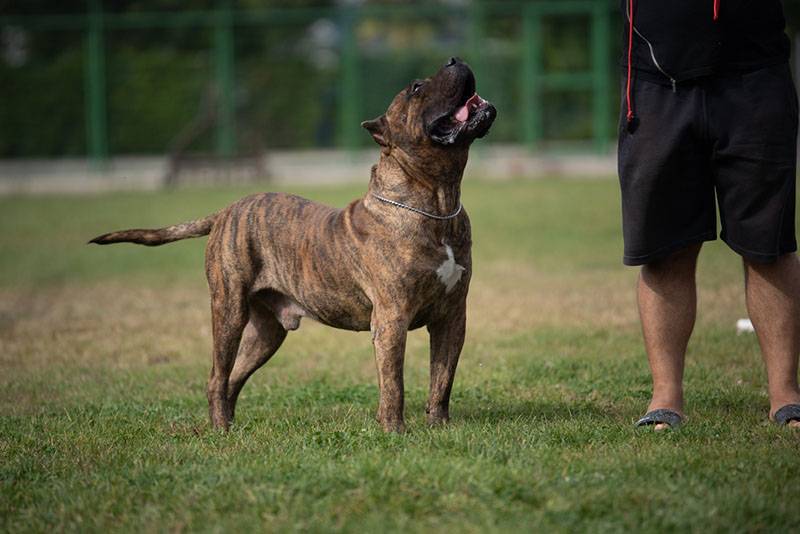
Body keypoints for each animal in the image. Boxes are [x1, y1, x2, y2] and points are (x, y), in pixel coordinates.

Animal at [92, 57, 494, 436]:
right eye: (415, 88)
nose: (454, 60)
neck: (438, 203)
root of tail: (224, 211)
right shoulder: (392, 319)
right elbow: (394, 383)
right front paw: (394, 431)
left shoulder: (452, 316)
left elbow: (442, 379)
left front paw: (438, 427)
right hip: (228, 311)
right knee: (217, 376)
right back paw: (220, 430)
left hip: (266, 332)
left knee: (233, 377)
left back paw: (230, 425)